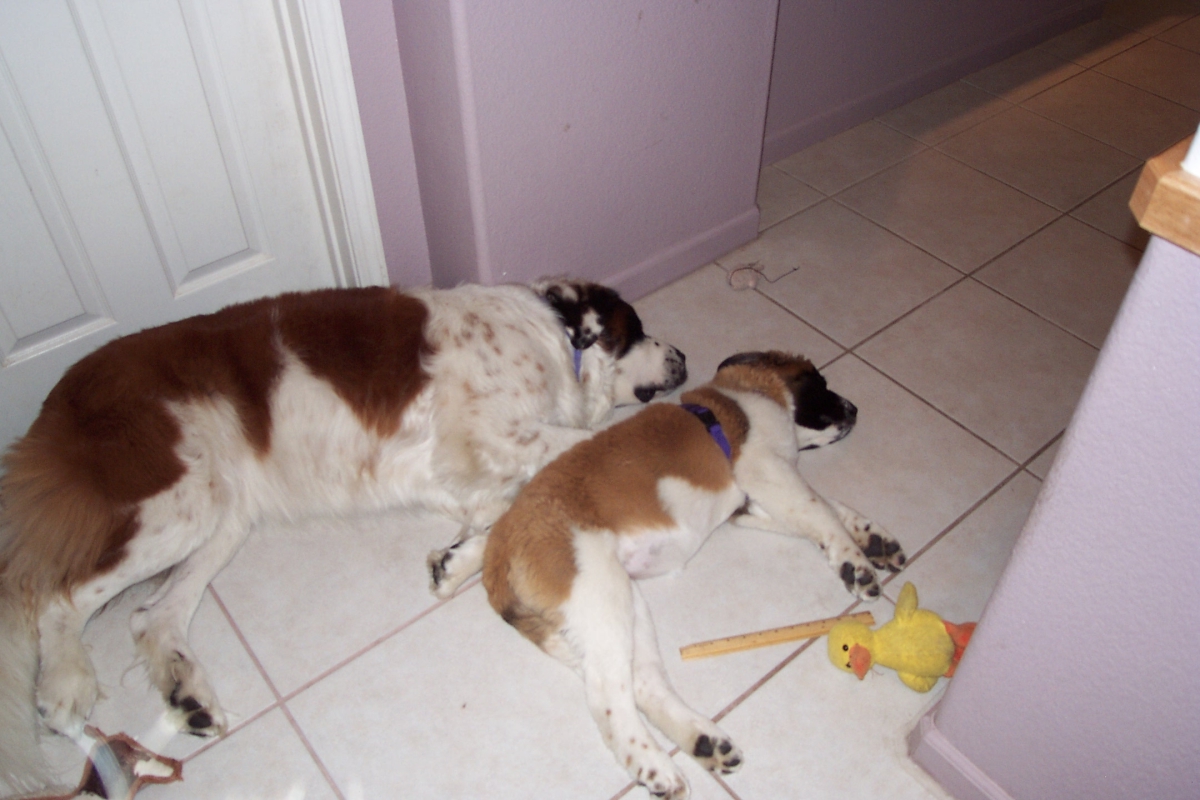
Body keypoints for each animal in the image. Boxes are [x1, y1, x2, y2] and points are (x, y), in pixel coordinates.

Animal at [0, 278, 686, 793]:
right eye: (638, 328)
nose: (682, 358)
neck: (551, 336)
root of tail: (56, 402)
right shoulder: (489, 432)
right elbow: (577, 449)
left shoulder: (450, 470)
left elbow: (502, 508)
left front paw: (455, 559)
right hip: (176, 496)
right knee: (52, 596)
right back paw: (63, 687)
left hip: (224, 511)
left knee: (152, 614)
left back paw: (184, 690)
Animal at [482, 351, 905, 800]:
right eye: (821, 384)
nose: (855, 409)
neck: (744, 393)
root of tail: (497, 551)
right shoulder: (764, 470)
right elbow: (821, 509)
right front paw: (856, 561)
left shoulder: (750, 504)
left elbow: (827, 507)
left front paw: (873, 539)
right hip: (600, 595)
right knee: (607, 698)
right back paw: (653, 765)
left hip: (623, 606)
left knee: (643, 685)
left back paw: (703, 741)